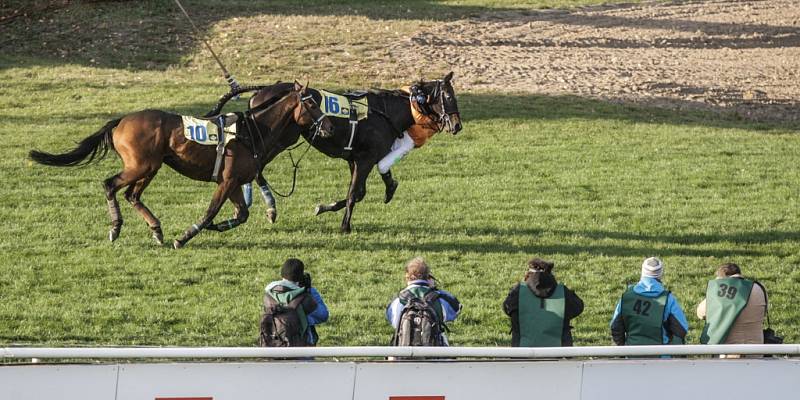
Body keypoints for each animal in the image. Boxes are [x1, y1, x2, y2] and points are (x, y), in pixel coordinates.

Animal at [29, 82, 332, 248]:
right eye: (311, 105)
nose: (328, 126)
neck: (251, 131)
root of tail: (121, 120)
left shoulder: (233, 181)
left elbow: (242, 214)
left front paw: (216, 227)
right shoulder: (227, 181)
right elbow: (211, 212)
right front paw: (186, 236)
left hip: (150, 168)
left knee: (131, 195)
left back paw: (156, 230)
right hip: (141, 166)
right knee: (111, 185)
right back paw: (116, 227)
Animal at [225, 73, 462, 233]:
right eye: (449, 97)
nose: (457, 125)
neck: (385, 113)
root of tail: (259, 93)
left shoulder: (354, 159)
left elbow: (358, 192)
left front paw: (324, 207)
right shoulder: (365, 159)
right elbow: (354, 194)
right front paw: (345, 226)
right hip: (279, 141)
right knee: (257, 170)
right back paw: (270, 207)